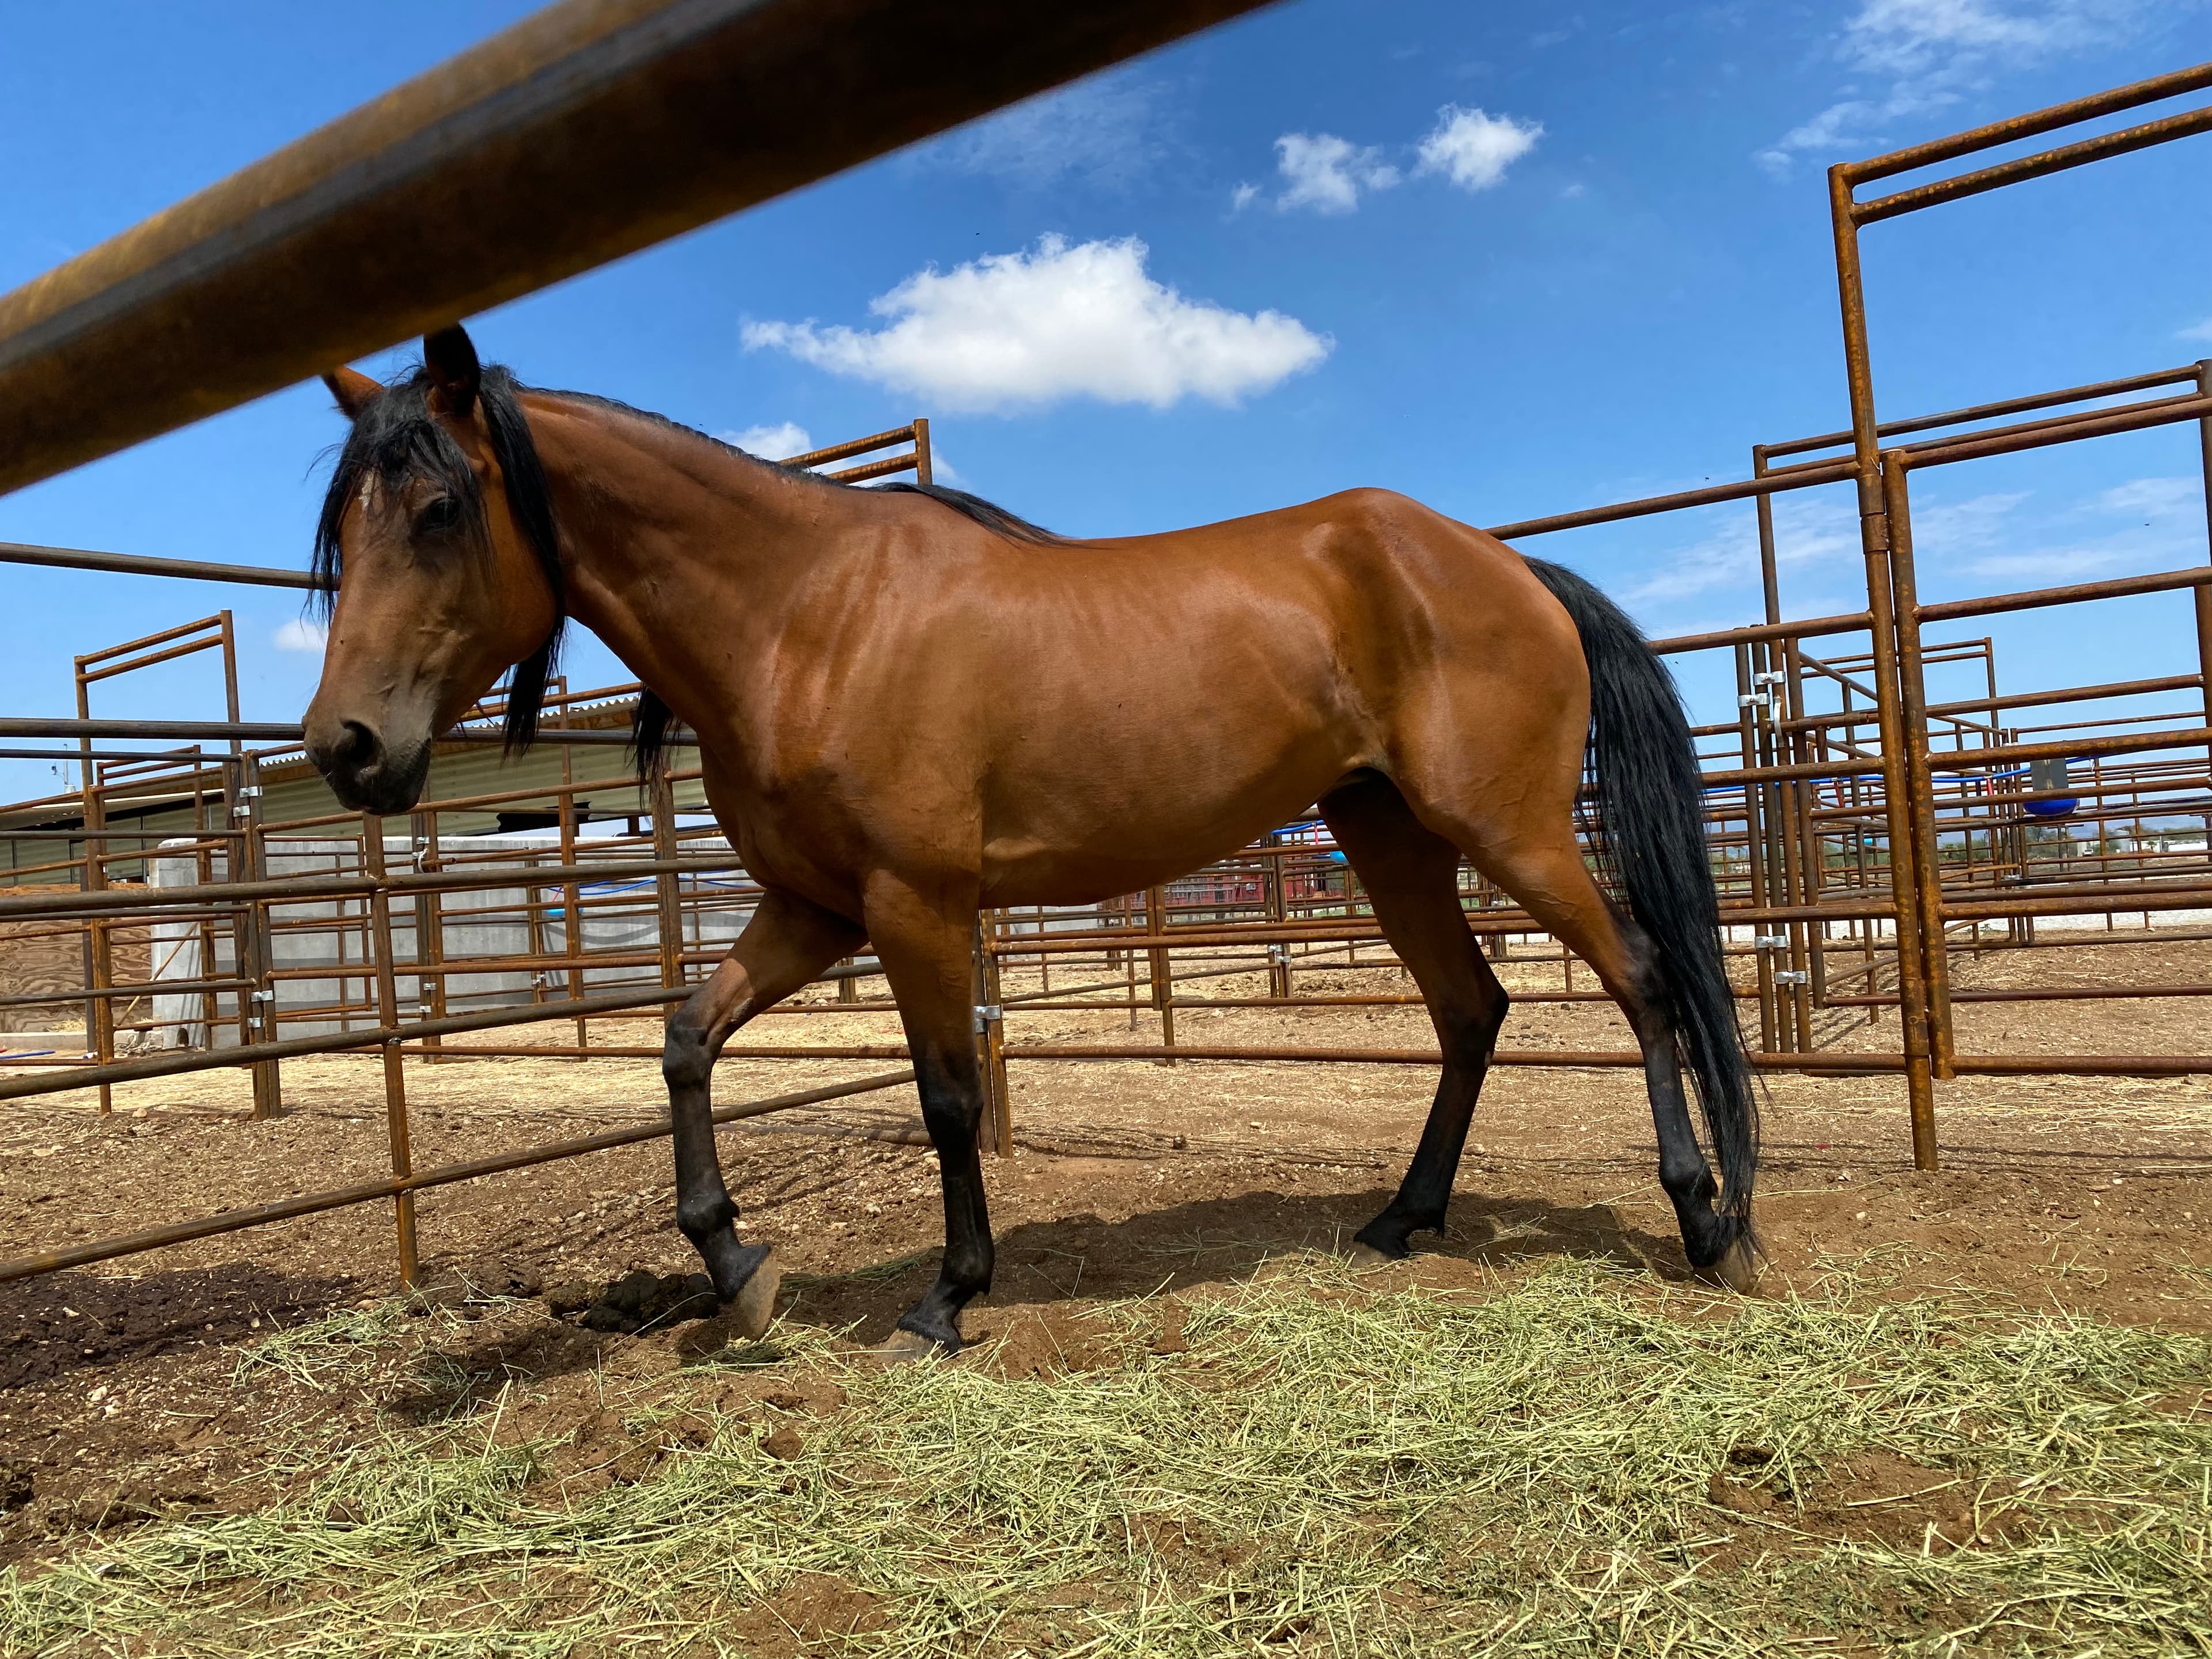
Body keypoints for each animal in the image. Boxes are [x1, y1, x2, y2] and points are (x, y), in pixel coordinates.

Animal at [301, 324, 1760, 1354]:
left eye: (438, 511)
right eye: (342, 534)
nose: (345, 748)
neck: (806, 617)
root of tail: (1509, 565)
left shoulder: (914, 904)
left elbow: (948, 1095)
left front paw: (947, 1298)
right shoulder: (811, 909)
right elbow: (683, 1042)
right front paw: (738, 1267)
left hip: (1506, 831)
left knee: (1641, 979)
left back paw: (1706, 1221)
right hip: (1389, 838)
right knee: (1471, 1008)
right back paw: (1403, 1217)